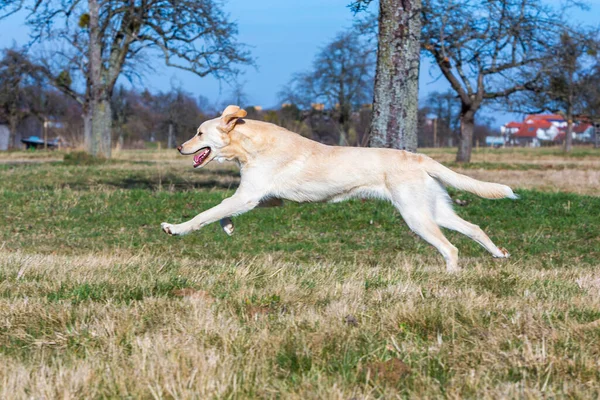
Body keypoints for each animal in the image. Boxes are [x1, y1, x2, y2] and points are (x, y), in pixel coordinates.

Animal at [161, 105, 516, 272]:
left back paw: (449, 277)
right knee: (474, 228)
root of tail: (418, 157)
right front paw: (229, 226)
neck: (250, 145)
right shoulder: (266, 198)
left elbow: (206, 213)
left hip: (416, 216)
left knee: (451, 248)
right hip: (434, 211)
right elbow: (221, 208)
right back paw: (499, 253)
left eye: (198, 132)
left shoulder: (249, 196)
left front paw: (175, 228)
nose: (179, 147)